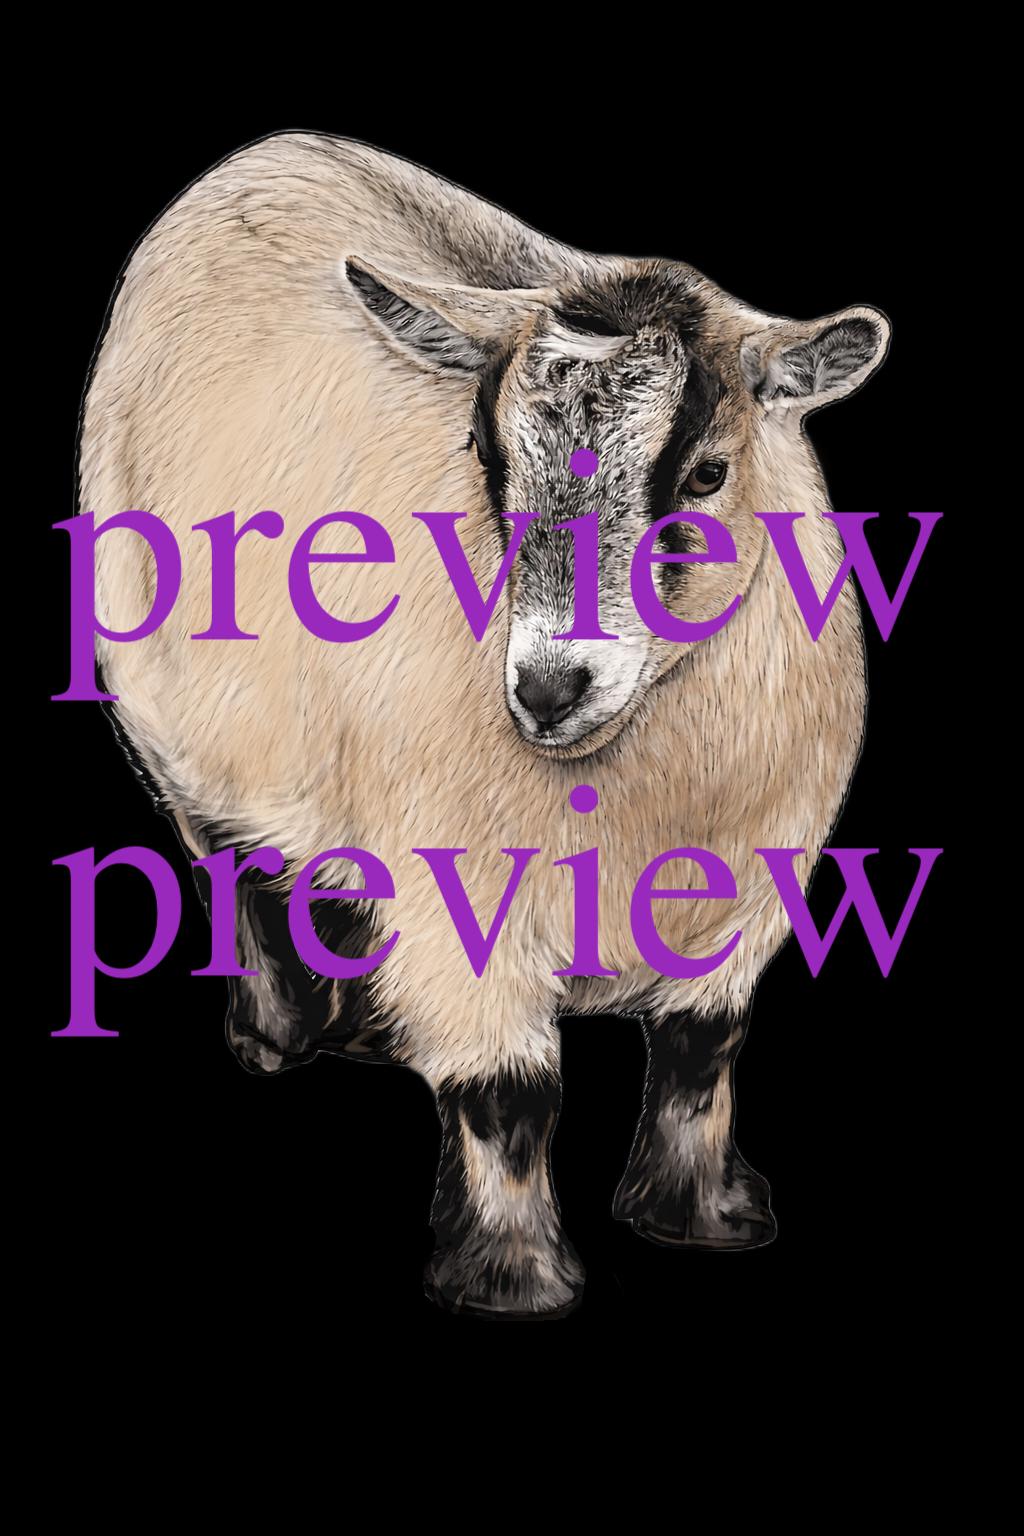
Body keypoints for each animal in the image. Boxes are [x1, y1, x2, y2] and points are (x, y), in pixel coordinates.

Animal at [79, 130, 890, 1318]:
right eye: (485, 455)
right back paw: (282, 1035)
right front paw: (511, 1278)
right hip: (173, 720)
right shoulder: (460, 896)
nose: (550, 687)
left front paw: (702, 1216)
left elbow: (700, 1053)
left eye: (705, 471)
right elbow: (509, 1096)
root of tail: (268, 153)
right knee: (239, 866)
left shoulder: (749, 892)